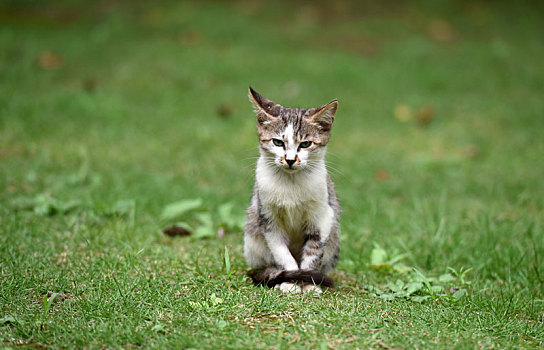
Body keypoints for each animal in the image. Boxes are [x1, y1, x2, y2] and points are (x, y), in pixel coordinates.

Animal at [245, 87, 340, 292]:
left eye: (305, 144)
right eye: (277, 142)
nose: (289, 160)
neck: (291, 183)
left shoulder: (323, 216)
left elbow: (313, 253)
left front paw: (309, 283)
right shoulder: (268, 218)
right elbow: (282, 253)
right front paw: (290, 282)